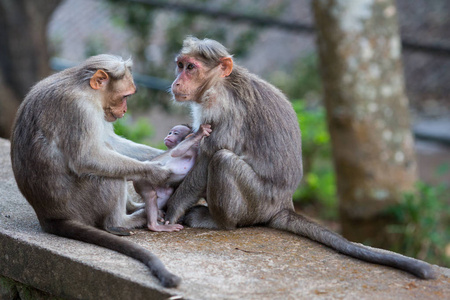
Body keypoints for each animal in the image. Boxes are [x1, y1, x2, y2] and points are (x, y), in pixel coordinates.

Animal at [9, 54, 181, 288]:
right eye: (125, 96)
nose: (124, 111)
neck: (84, 89)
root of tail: (49, 215)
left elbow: (109, 141)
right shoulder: (79, 109)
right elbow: (88, 157)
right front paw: (156, 171)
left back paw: (134, 207)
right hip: (80, 203)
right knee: (108, 175)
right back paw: (123, 221)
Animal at [165, 36, 436, 280]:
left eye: (191, 67)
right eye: (181, 65)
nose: (176, 82)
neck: (220, 84)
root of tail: (283, 204)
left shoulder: (221, 108)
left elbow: (208, 156)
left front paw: (171, 211)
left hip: (257, 201)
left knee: (223, 160)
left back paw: (217, 221)